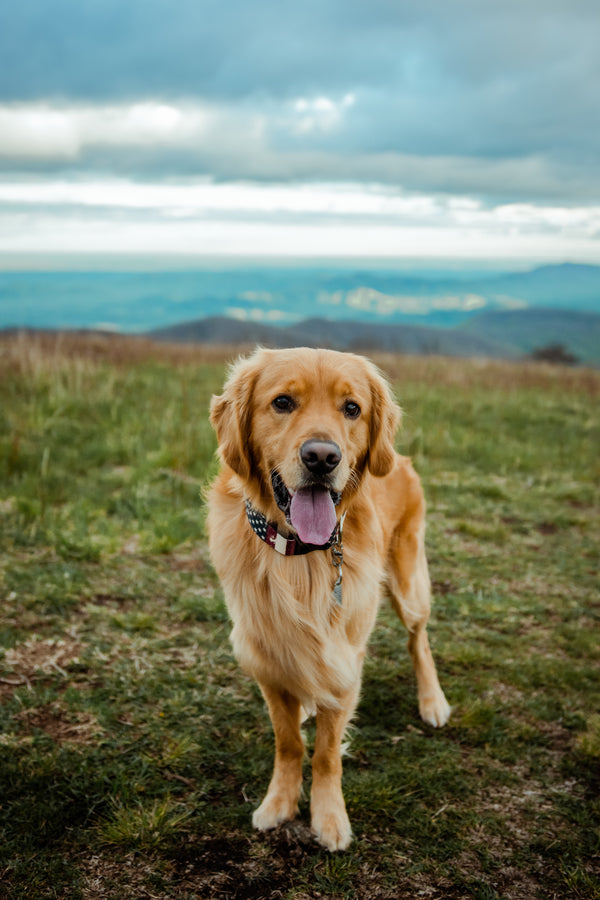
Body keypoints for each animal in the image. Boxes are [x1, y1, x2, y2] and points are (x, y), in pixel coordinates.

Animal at [206, 344, 450, 852]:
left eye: (352, 408)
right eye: (282, 402)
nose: (322, 458)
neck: (301, 556)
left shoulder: (344, 660)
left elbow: (326, 753)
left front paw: (329, 817)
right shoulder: (264, 656)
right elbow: (288, 742)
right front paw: (279, 802)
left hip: (408, 584)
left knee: (418, 638)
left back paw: (433, 701)